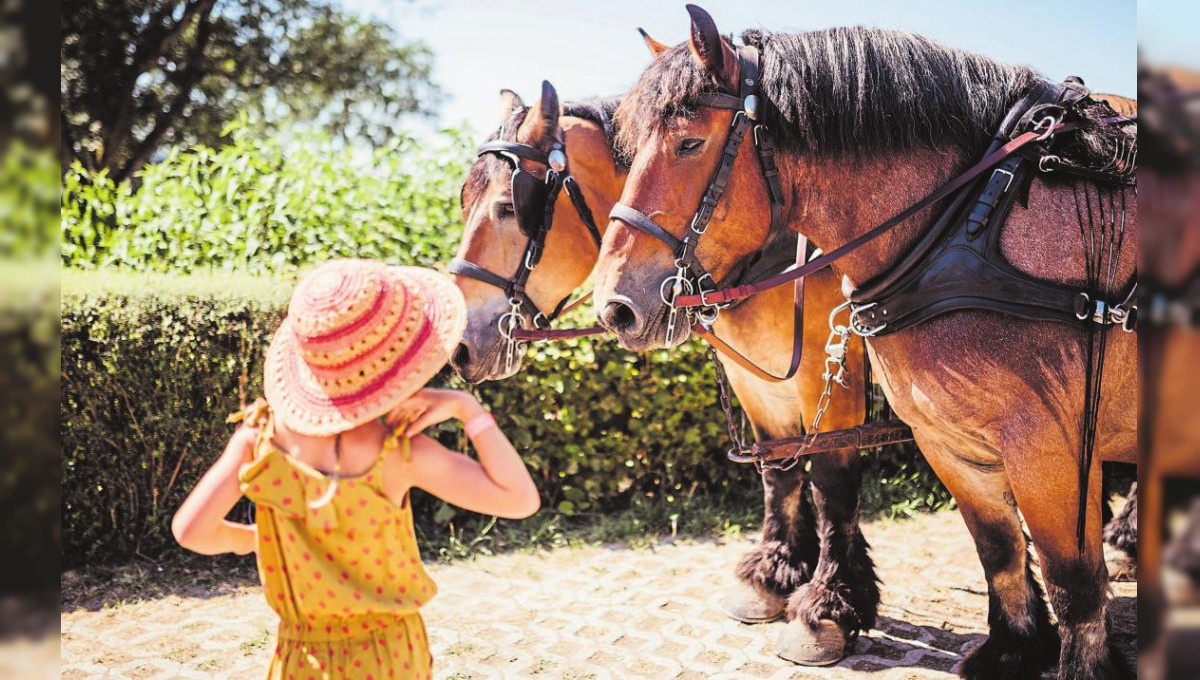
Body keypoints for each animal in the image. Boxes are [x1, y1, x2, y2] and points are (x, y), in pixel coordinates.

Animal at [446, 75, 878, 666]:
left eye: (509, 207)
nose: (460, 345)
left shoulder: (831, 372)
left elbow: (833, 485)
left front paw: (829, 606)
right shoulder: (758, 381)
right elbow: (779, 472)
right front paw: (775, 575)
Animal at [595, 6, 1137, 680]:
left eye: (689, 143)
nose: (614, 307)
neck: (963, 218)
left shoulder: (1050, 445)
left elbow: (1072, 579)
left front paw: (827, 604)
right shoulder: (938, 433)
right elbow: (994, 544)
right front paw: (1014, 647)